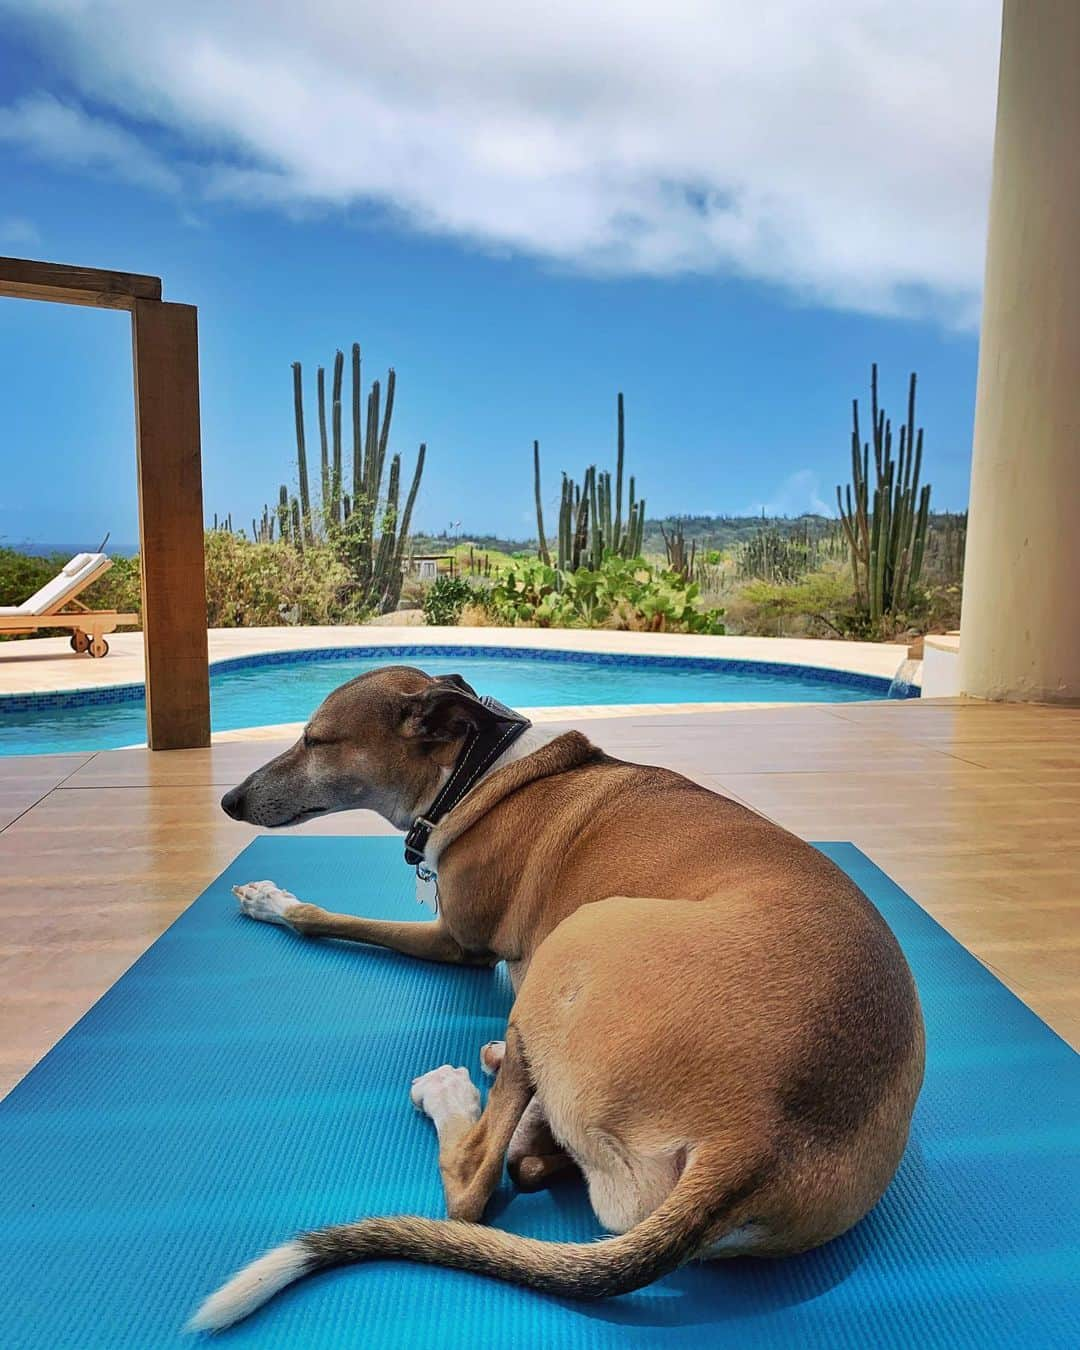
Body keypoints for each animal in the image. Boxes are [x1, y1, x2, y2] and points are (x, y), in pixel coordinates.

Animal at [190, 664, 923, 1328]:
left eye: (316, 740)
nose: (228, 802)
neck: (478, 770)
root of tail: (755, 1141)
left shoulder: (457, 942)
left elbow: (329, 918)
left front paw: (274, 902)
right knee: (531, 1157)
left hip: (575, 938)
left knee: (477, 1183)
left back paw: (457, 1094)